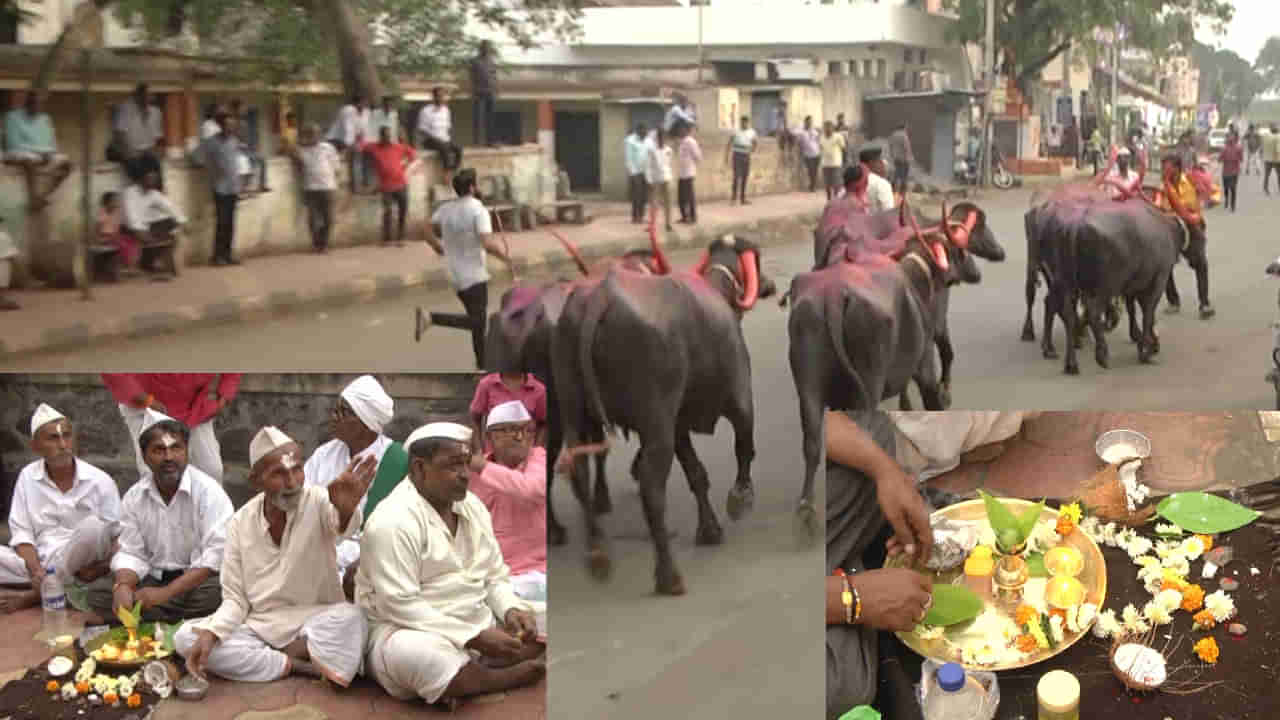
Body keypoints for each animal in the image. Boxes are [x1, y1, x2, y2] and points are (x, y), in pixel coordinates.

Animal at [552, 230, 773, 594]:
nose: (769, 285)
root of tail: (601, 296)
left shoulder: (678, 424)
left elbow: (697, 474)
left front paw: (709, 529)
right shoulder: (740, 398)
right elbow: (745, 447)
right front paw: (740, 498)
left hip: (574, 411)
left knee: (579, 472)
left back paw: (598, 555)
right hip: (656, 427)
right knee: (651, 488)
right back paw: (669, 575)